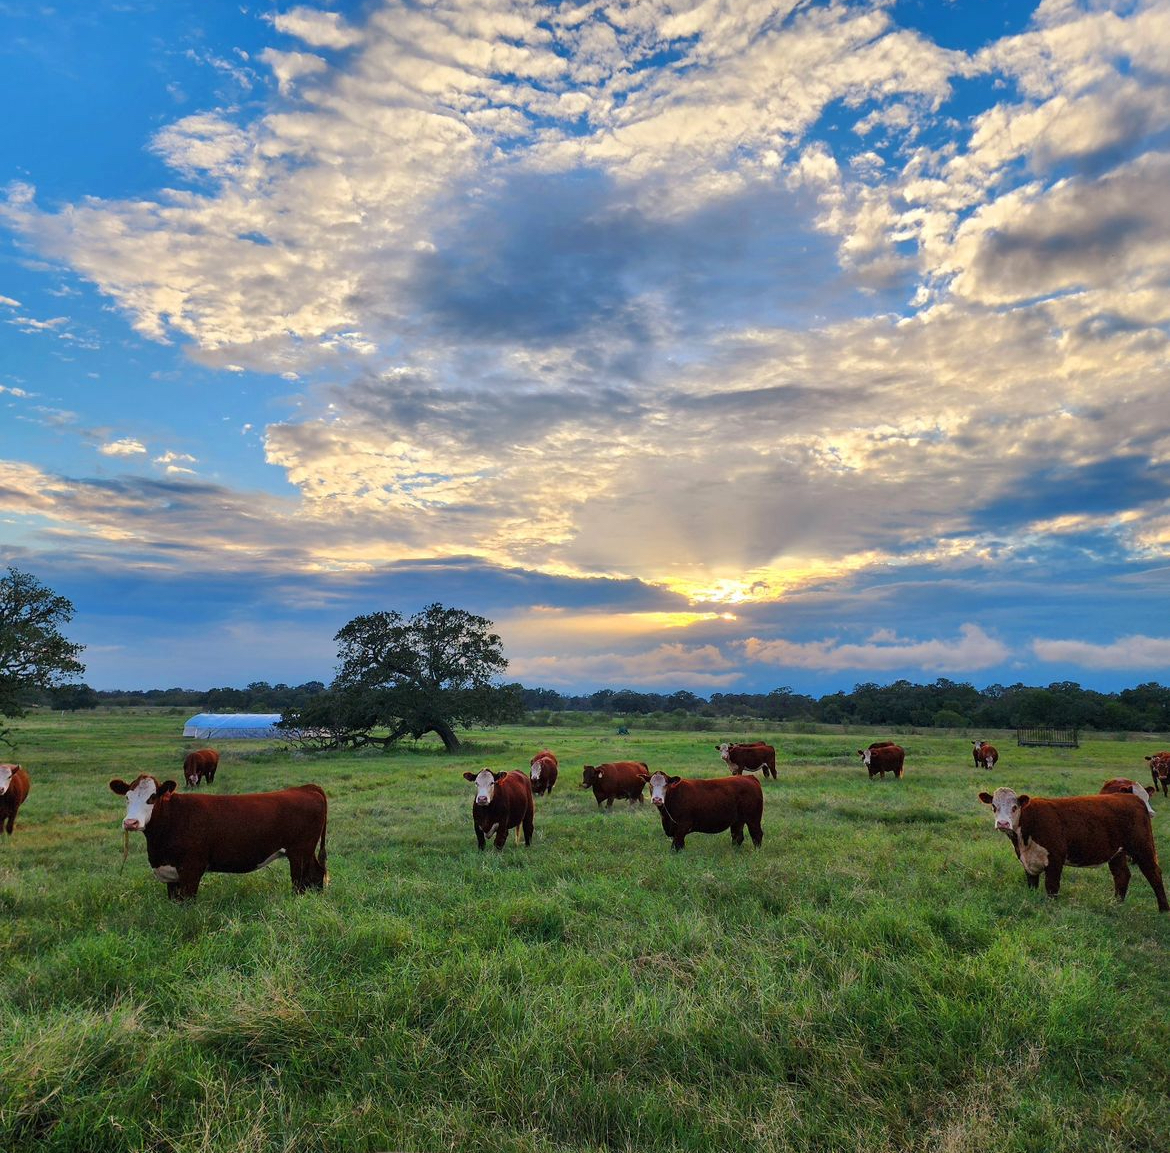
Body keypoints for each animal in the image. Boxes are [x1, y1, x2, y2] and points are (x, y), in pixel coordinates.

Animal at [107, 772, 327, 898]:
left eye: (152, 798)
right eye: (127, 797)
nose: (130, 823)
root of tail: (307, 788)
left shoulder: (191, 869)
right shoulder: (171, 873)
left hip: (299, 853)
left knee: (300, 882)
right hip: (307, 852)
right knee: (317, 874)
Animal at [978, 781, 1170, 908]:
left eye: (1014, 807)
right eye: (994, 806)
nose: (1003, 823)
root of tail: (1131, 798)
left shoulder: (1056, 858)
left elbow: (1052, 887)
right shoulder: (1028, 862)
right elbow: (1032, 885)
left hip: (1142, 846)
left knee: (1154, 873)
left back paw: (1163, 910)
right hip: (1118, 852)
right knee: (1122, 874)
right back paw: (1115, 903)